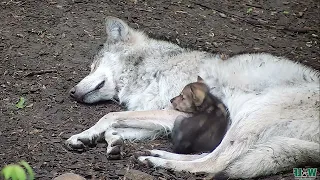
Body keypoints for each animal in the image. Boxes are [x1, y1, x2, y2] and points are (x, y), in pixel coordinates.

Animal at [65, 15, 320, 179]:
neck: (155, 68)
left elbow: (109, 116)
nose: (72, 93)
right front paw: (109, 141)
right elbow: (115, 127)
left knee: (215, 163)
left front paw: (81, 135)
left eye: (93, 66)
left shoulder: (175, 113)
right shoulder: (166, 121)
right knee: (211, 156)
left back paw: (157, 161)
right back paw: (155, 154)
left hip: (253, 115)